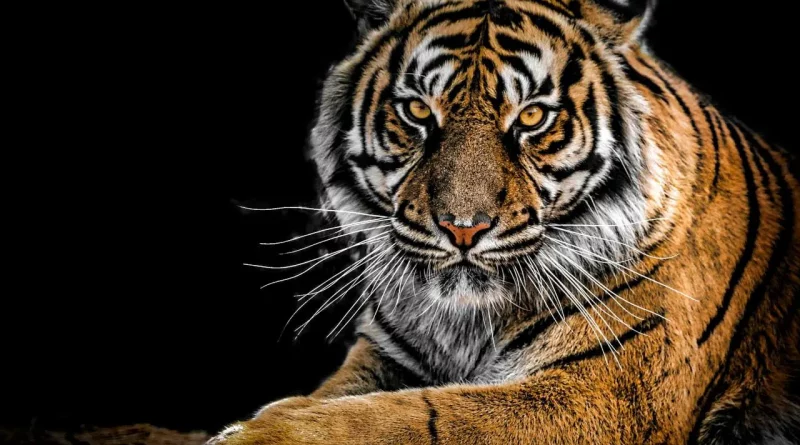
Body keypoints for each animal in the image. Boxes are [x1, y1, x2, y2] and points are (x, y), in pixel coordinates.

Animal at [210, 0, 800, 443]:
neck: (464, 322)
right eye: (418, 112)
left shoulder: (606, 391)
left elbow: (414, 417)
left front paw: (251, 435)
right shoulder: (384, 355)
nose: (463, 228)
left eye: (533, 116)